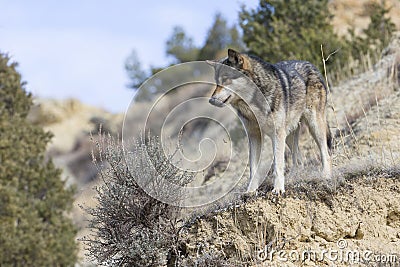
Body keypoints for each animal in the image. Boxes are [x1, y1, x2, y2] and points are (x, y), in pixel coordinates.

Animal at [206, 48, 332, 195]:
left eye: (226, 79)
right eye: (216, 82)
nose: (211, 100)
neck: (253, 106)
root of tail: (309, 63)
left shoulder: (276, 134)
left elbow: (278, 165)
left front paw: (278, 189)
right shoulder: (254, 136)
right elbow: (253, 168)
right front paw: (251, 191)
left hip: (313, 125)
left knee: (325, 153)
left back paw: (326, 175)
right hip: (289, 135)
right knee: (299, 160)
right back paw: (293, 177)